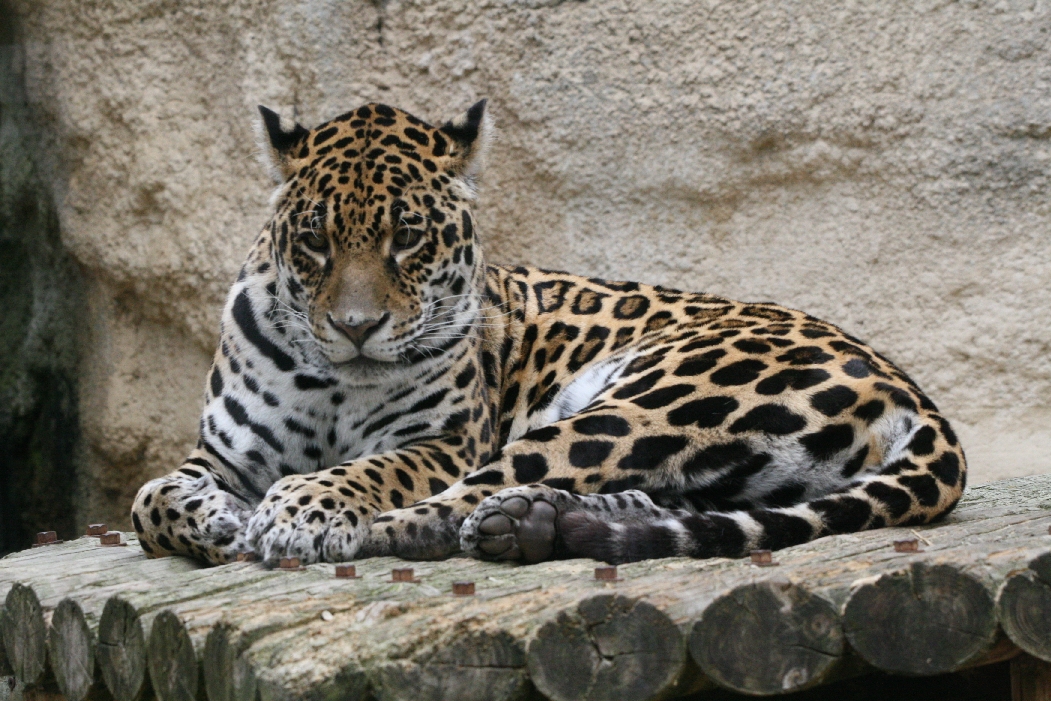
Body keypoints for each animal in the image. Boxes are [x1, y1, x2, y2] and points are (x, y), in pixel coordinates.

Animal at [131, 100, 966, 567]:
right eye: (314, 241)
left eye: (408, 237)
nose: (356, 328)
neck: (334, 381)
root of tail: (913, 393)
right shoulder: (219, 454)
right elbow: (150, 498)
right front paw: (216, 519)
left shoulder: (441, 441)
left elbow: (367, 471)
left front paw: (297, 513)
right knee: (649, 498)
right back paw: (547, 523)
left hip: (651, 398)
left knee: (462, 500)